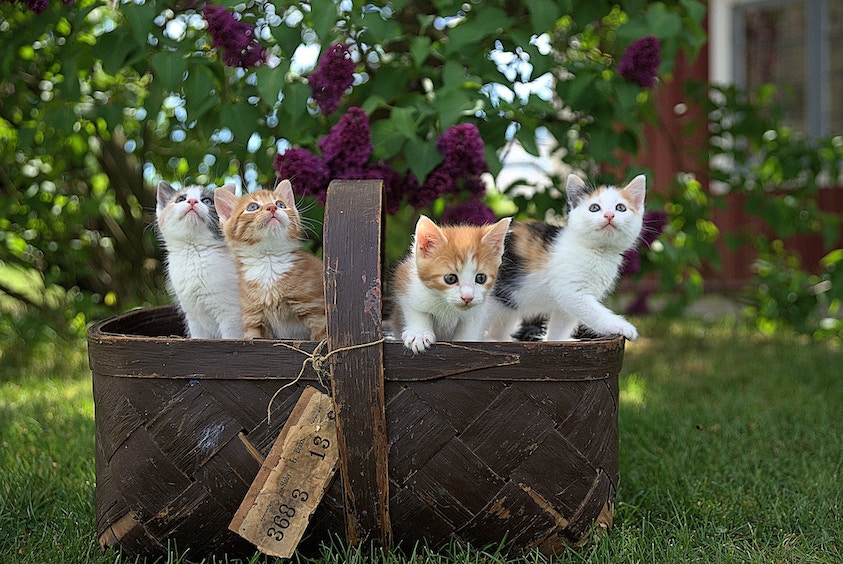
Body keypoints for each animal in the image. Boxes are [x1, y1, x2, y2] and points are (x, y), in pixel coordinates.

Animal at [155, 182, 244, 340]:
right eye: (180, 199)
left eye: (207, 201)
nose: (192, 201)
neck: (194, 252)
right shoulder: (193, 316)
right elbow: (198, 337)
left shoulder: (231, 313)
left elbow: (231, 337)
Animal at [214, 181, 326, 340]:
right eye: (252, 207)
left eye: (280, 204)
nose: (272, 207)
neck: (269, 261)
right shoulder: (253, 319)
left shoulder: (315, 311)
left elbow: (322, 339)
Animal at [390, 216, 516, 352]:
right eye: (450, 278)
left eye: (481, 278)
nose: (468, 297)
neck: (447, 305)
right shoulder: (405, 281)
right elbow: (416, 310)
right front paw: (419, 334)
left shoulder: (479, 309)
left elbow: (470, 326)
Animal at [482, 174, 648, 342]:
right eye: (594, 208)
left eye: (620, 208)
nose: (609, 215)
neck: (598, 252)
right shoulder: (572, 292)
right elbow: (596, 313)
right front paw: (623, 326)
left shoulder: (565, 307)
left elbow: (559, 328)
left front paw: (555, 341)